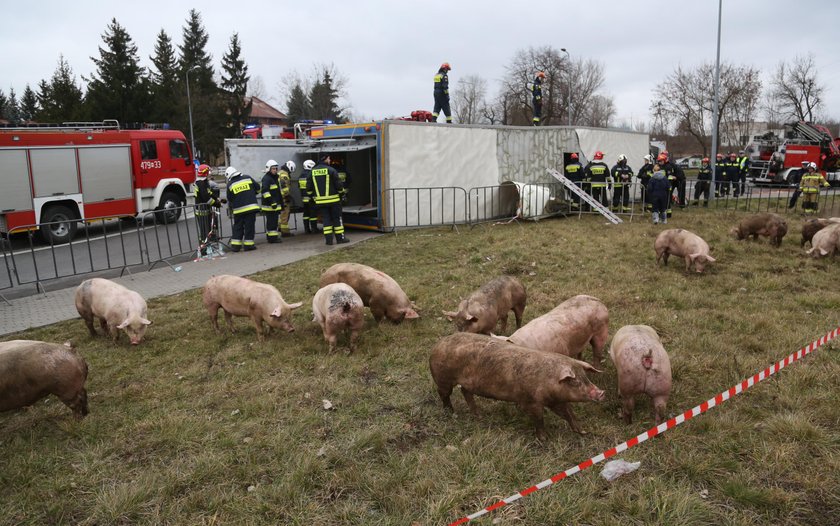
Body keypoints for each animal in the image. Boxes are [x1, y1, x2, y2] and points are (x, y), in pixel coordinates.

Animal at [434, 334, 604, 442]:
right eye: (575, 382)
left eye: (586, 377)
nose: (601, 392)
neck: (548, 380)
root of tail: (438, 345)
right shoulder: (530, 402)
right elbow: (539, 419)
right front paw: (545, 439)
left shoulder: (555, 400)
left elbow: (568, 414)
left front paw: (583, 432)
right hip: (442, 378)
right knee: (444, 394)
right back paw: (451, 413)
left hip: (468, 384)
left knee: (465, 391)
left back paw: (479, 415)